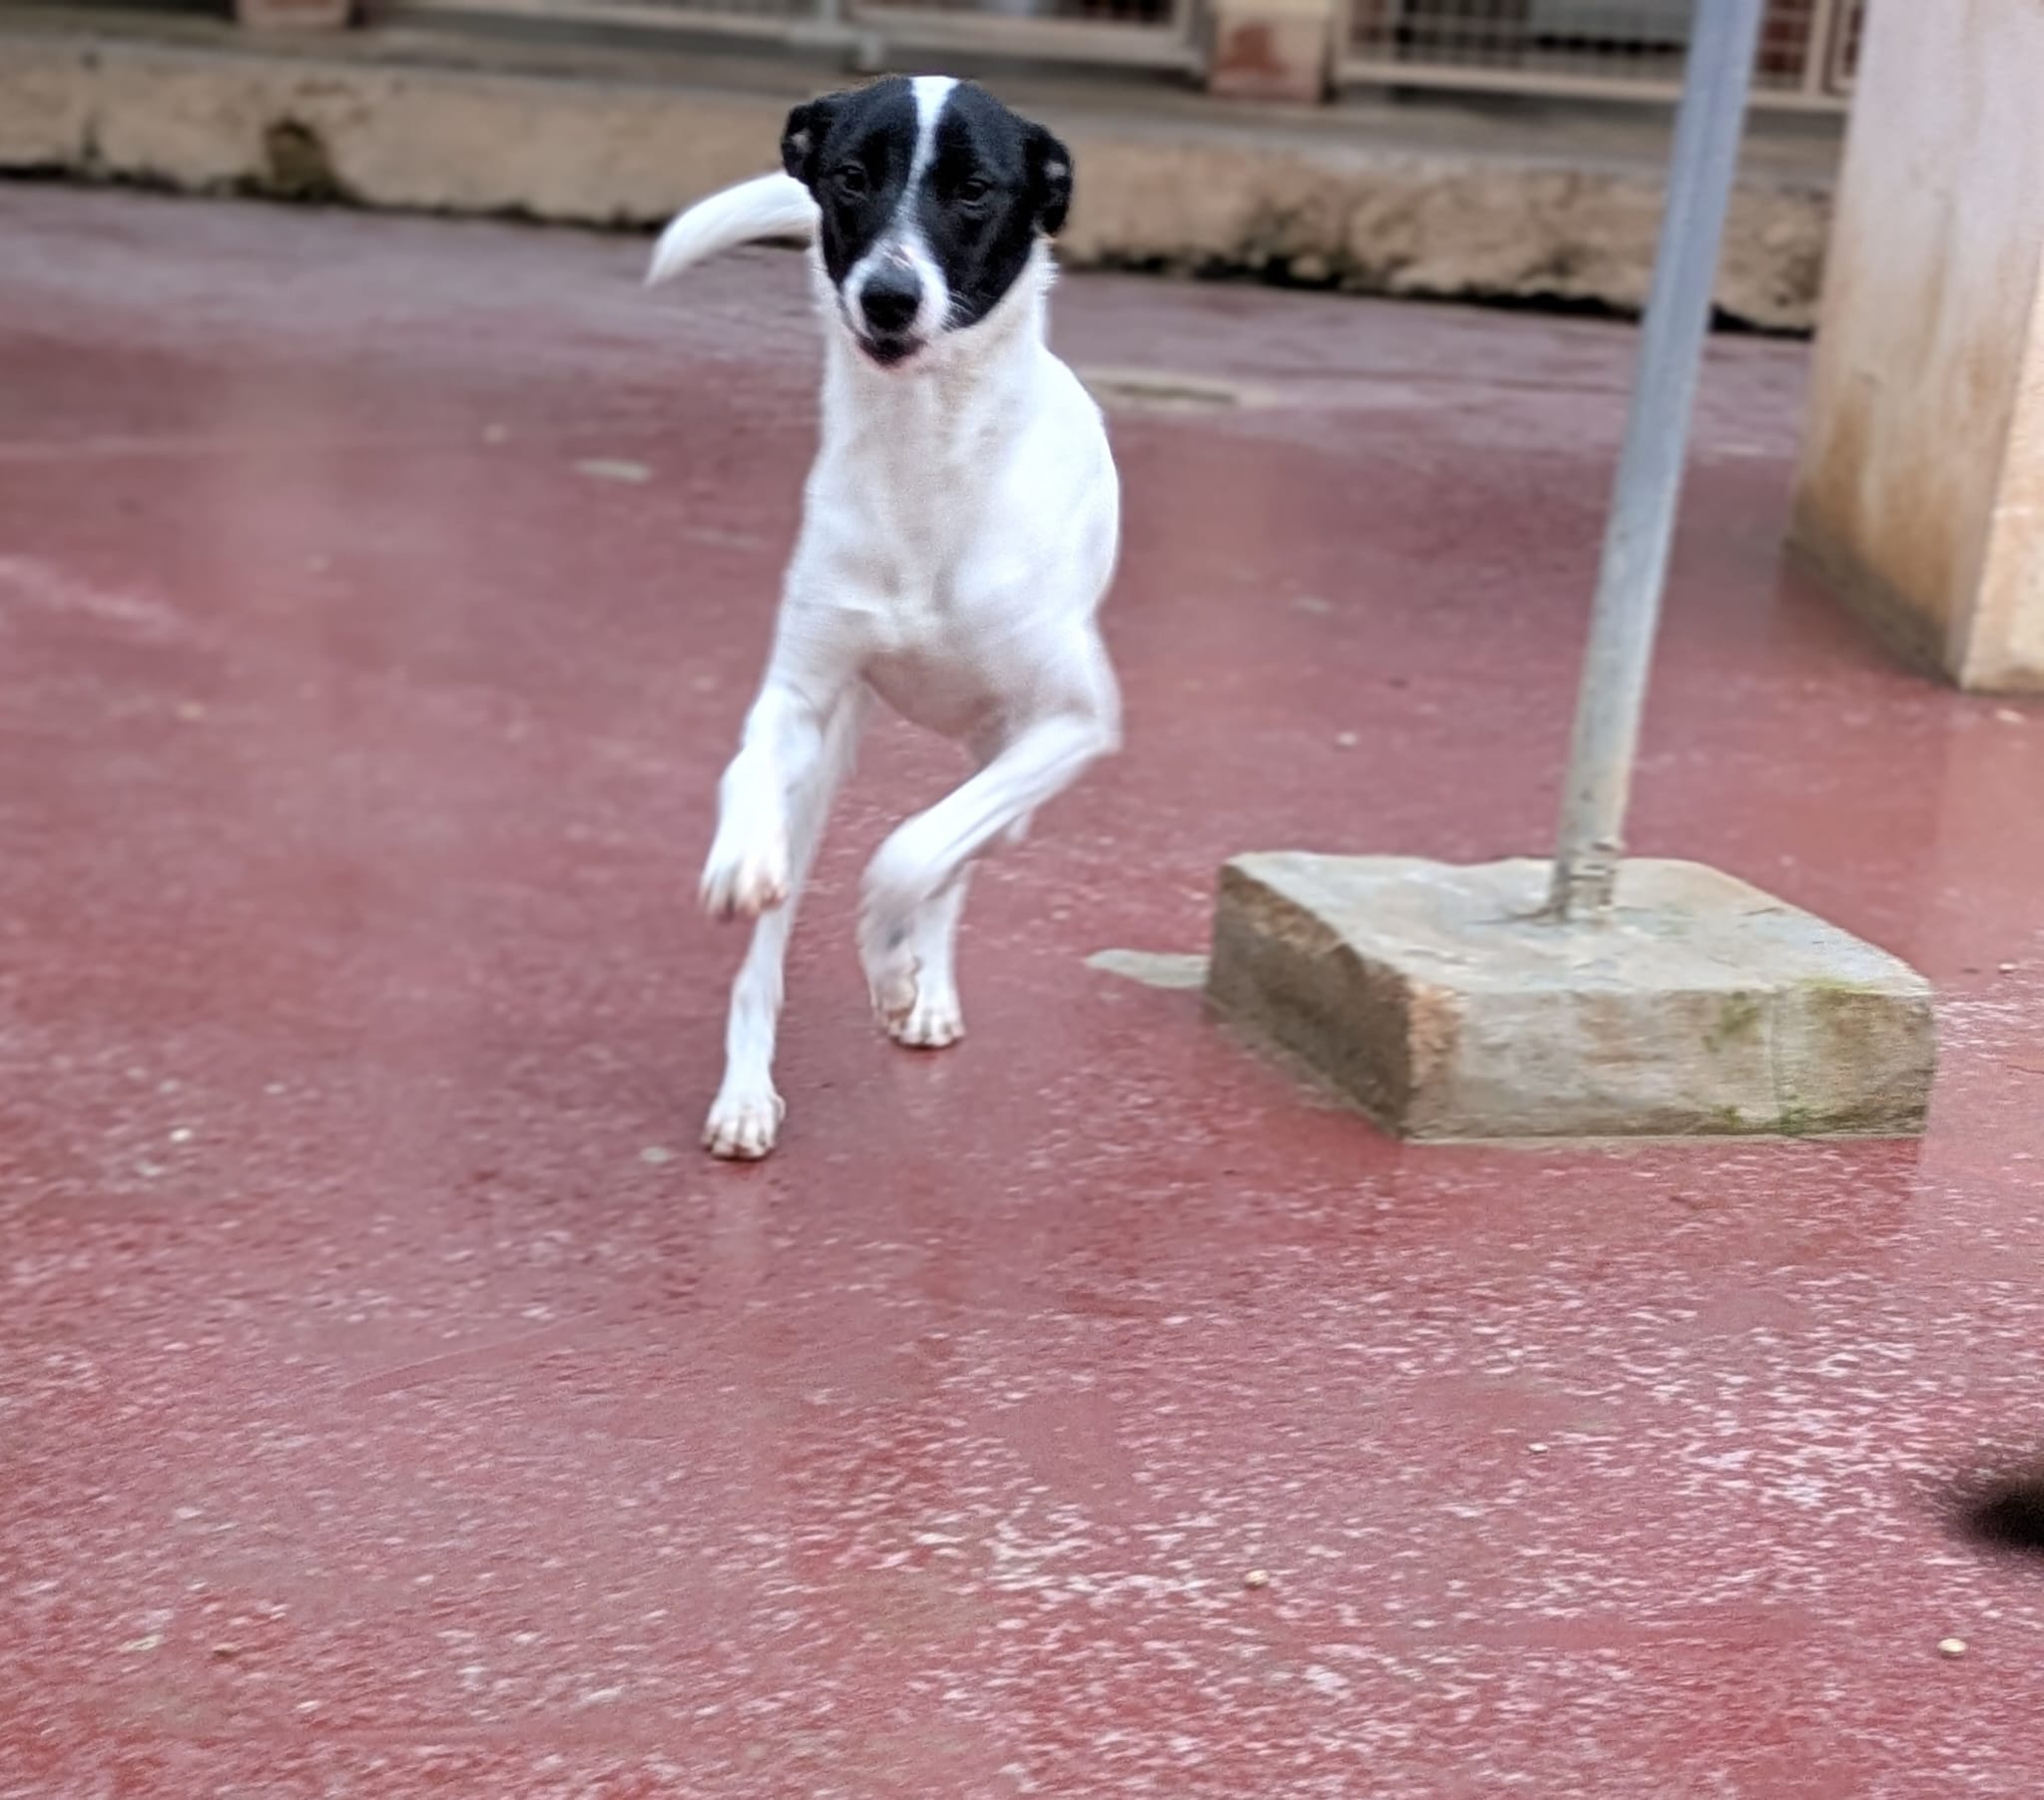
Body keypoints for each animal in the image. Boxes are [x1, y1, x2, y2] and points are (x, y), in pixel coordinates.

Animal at [646, 76, 1122, 1159]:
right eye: (851, 177)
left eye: (977, 189)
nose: (888, 296)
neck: (925, 464)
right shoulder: (800, 695)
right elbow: (750, 773)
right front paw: (740, 857)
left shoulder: (1073, 723)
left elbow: (908, 857)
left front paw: (892, 965)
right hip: (834, 764)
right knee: (775, 940)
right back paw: (748, 1091)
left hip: (1011, 764)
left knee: (955, 854)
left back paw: (920, 984)